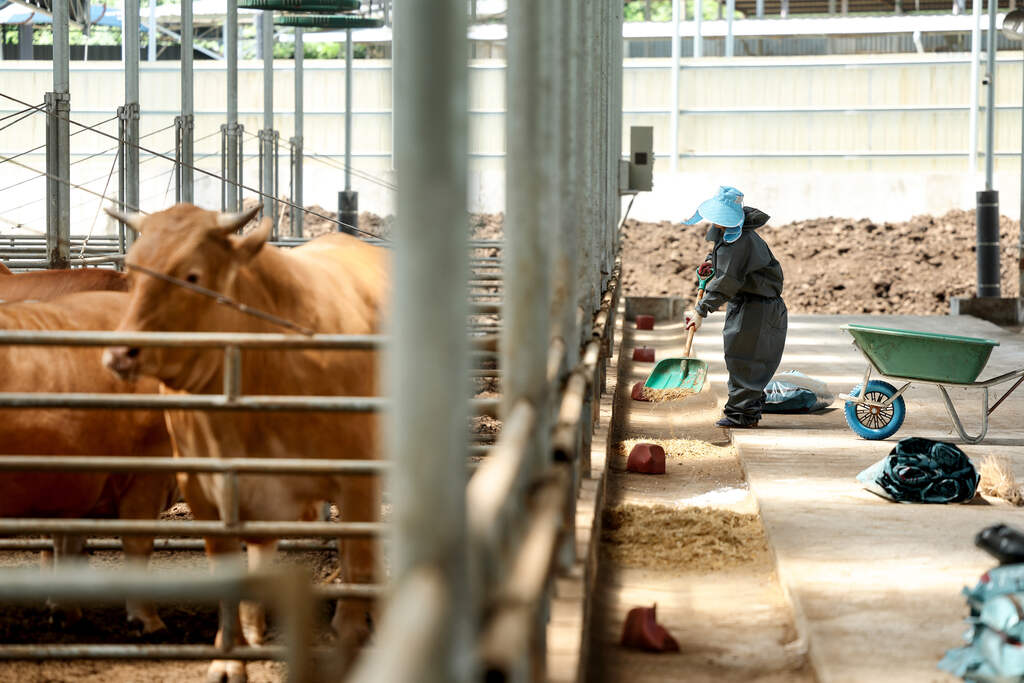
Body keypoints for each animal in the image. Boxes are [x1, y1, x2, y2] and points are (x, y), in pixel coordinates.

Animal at [0, 290, 176, 634]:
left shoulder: (72, 479)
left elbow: (67, 543)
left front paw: (64, 611)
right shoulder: (148, 470)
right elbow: (138, 544)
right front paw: (148, 621)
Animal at [102, 201, 387, 679]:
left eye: (192, 275)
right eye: (131, 270)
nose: (120, 354)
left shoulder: (357, 480)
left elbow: (359, 559)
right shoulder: (205, 489)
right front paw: (228, 659)